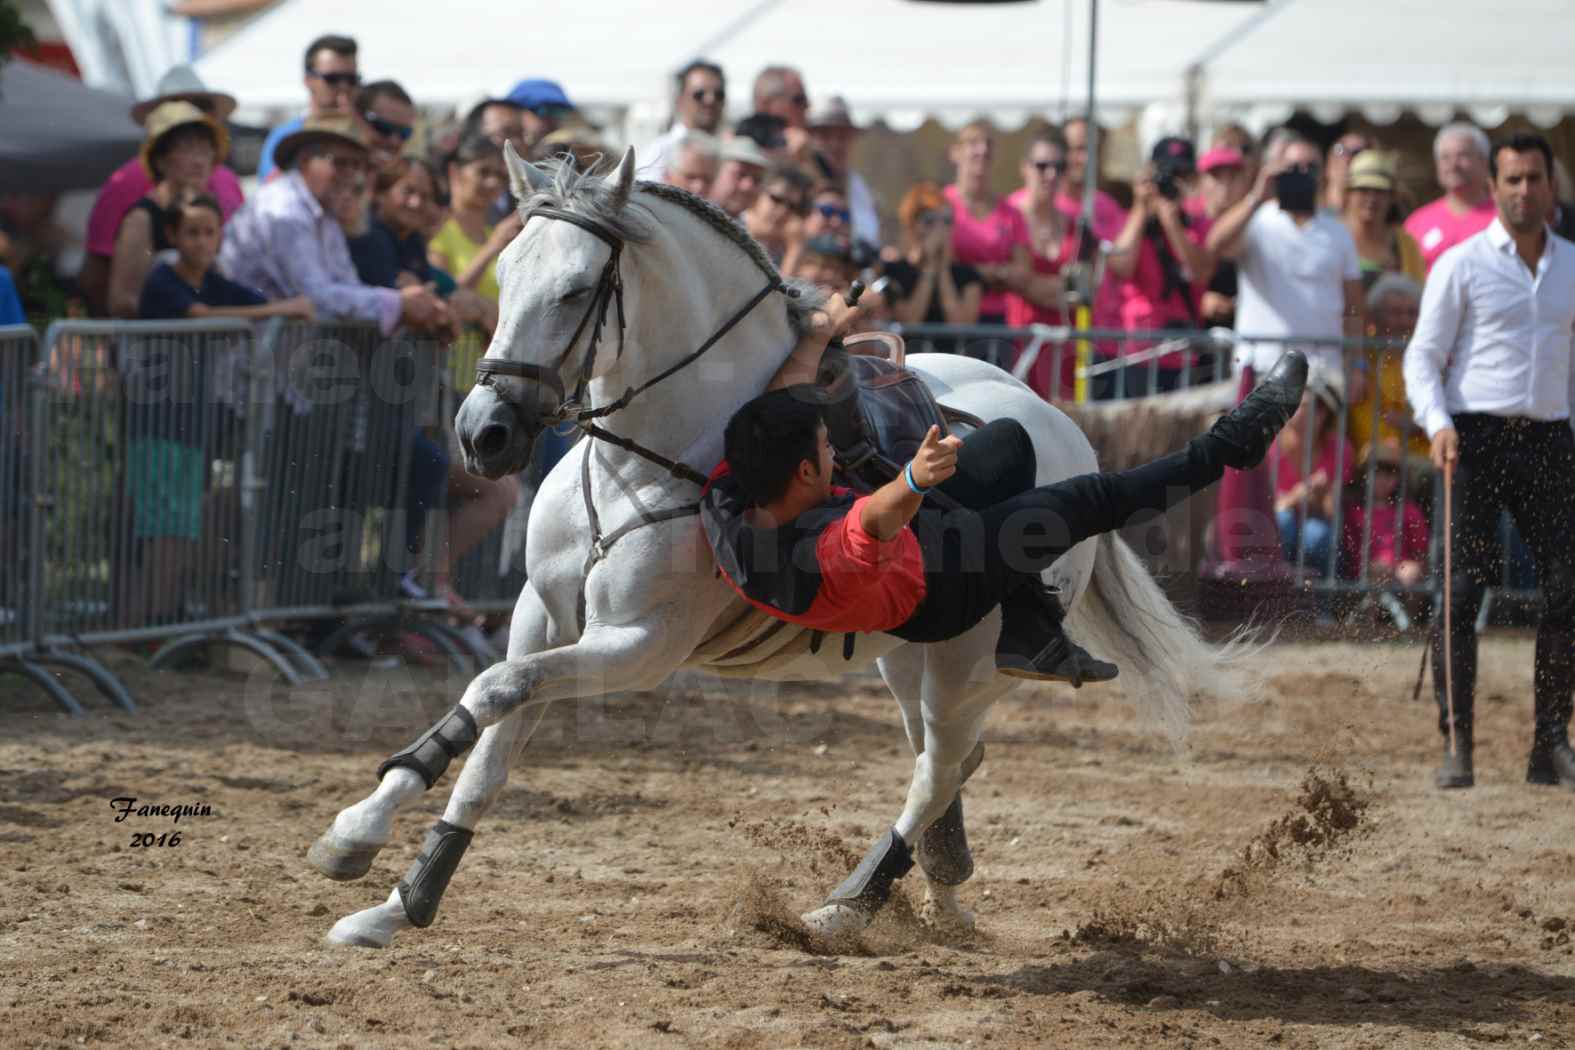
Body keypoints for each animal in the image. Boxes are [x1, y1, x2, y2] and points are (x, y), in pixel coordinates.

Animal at [303, 145, 1241, 950]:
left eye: (573, 292)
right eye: (502, 278)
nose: (483, 434)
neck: (646, 462)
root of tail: (1060, 421)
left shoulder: (638, 646)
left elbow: (493, 691)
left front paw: (357, 833)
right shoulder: (541, 614)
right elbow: (491, 739)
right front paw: (395, 897)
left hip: (965, 664)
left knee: (938, 767)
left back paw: (853, 903)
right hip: (908, 655)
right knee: (949, 761)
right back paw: (939, 894)